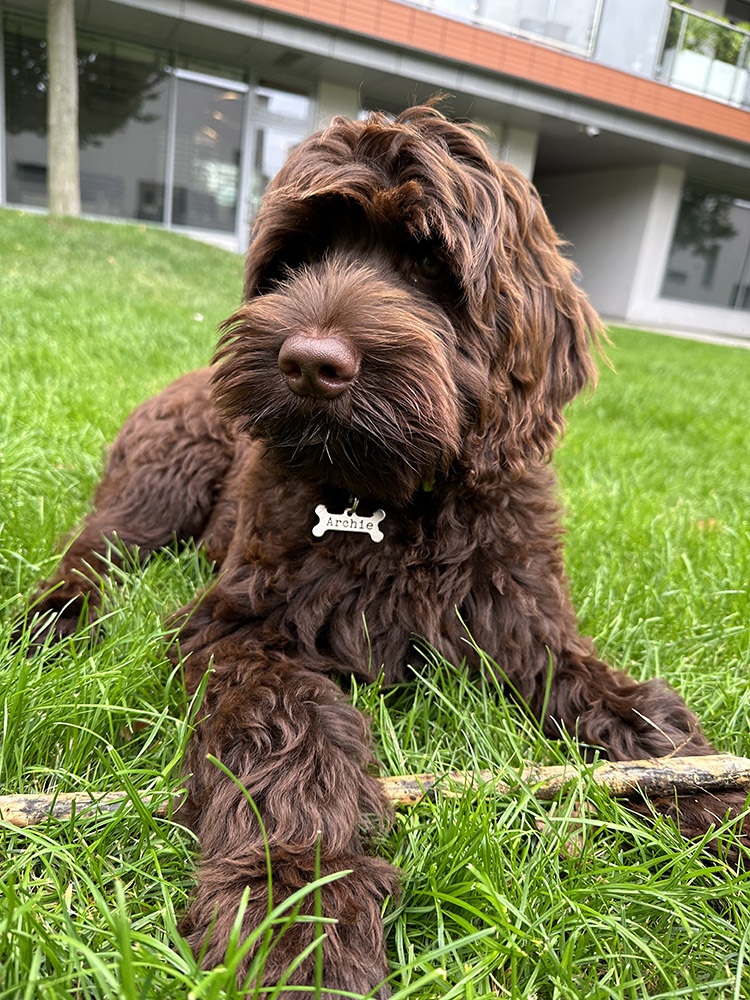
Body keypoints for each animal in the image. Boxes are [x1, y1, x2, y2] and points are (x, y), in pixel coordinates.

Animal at [26, 105, 748, 996]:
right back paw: (52, 624)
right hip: (161, 479)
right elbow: (289, 731)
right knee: (91, 553)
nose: (309, 364)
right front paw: (296, 908)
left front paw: (714, 804)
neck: (387, 501)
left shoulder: (529, 625)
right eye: (296, 259)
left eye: (431, 264)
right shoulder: (239, 625)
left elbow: (637, 712)